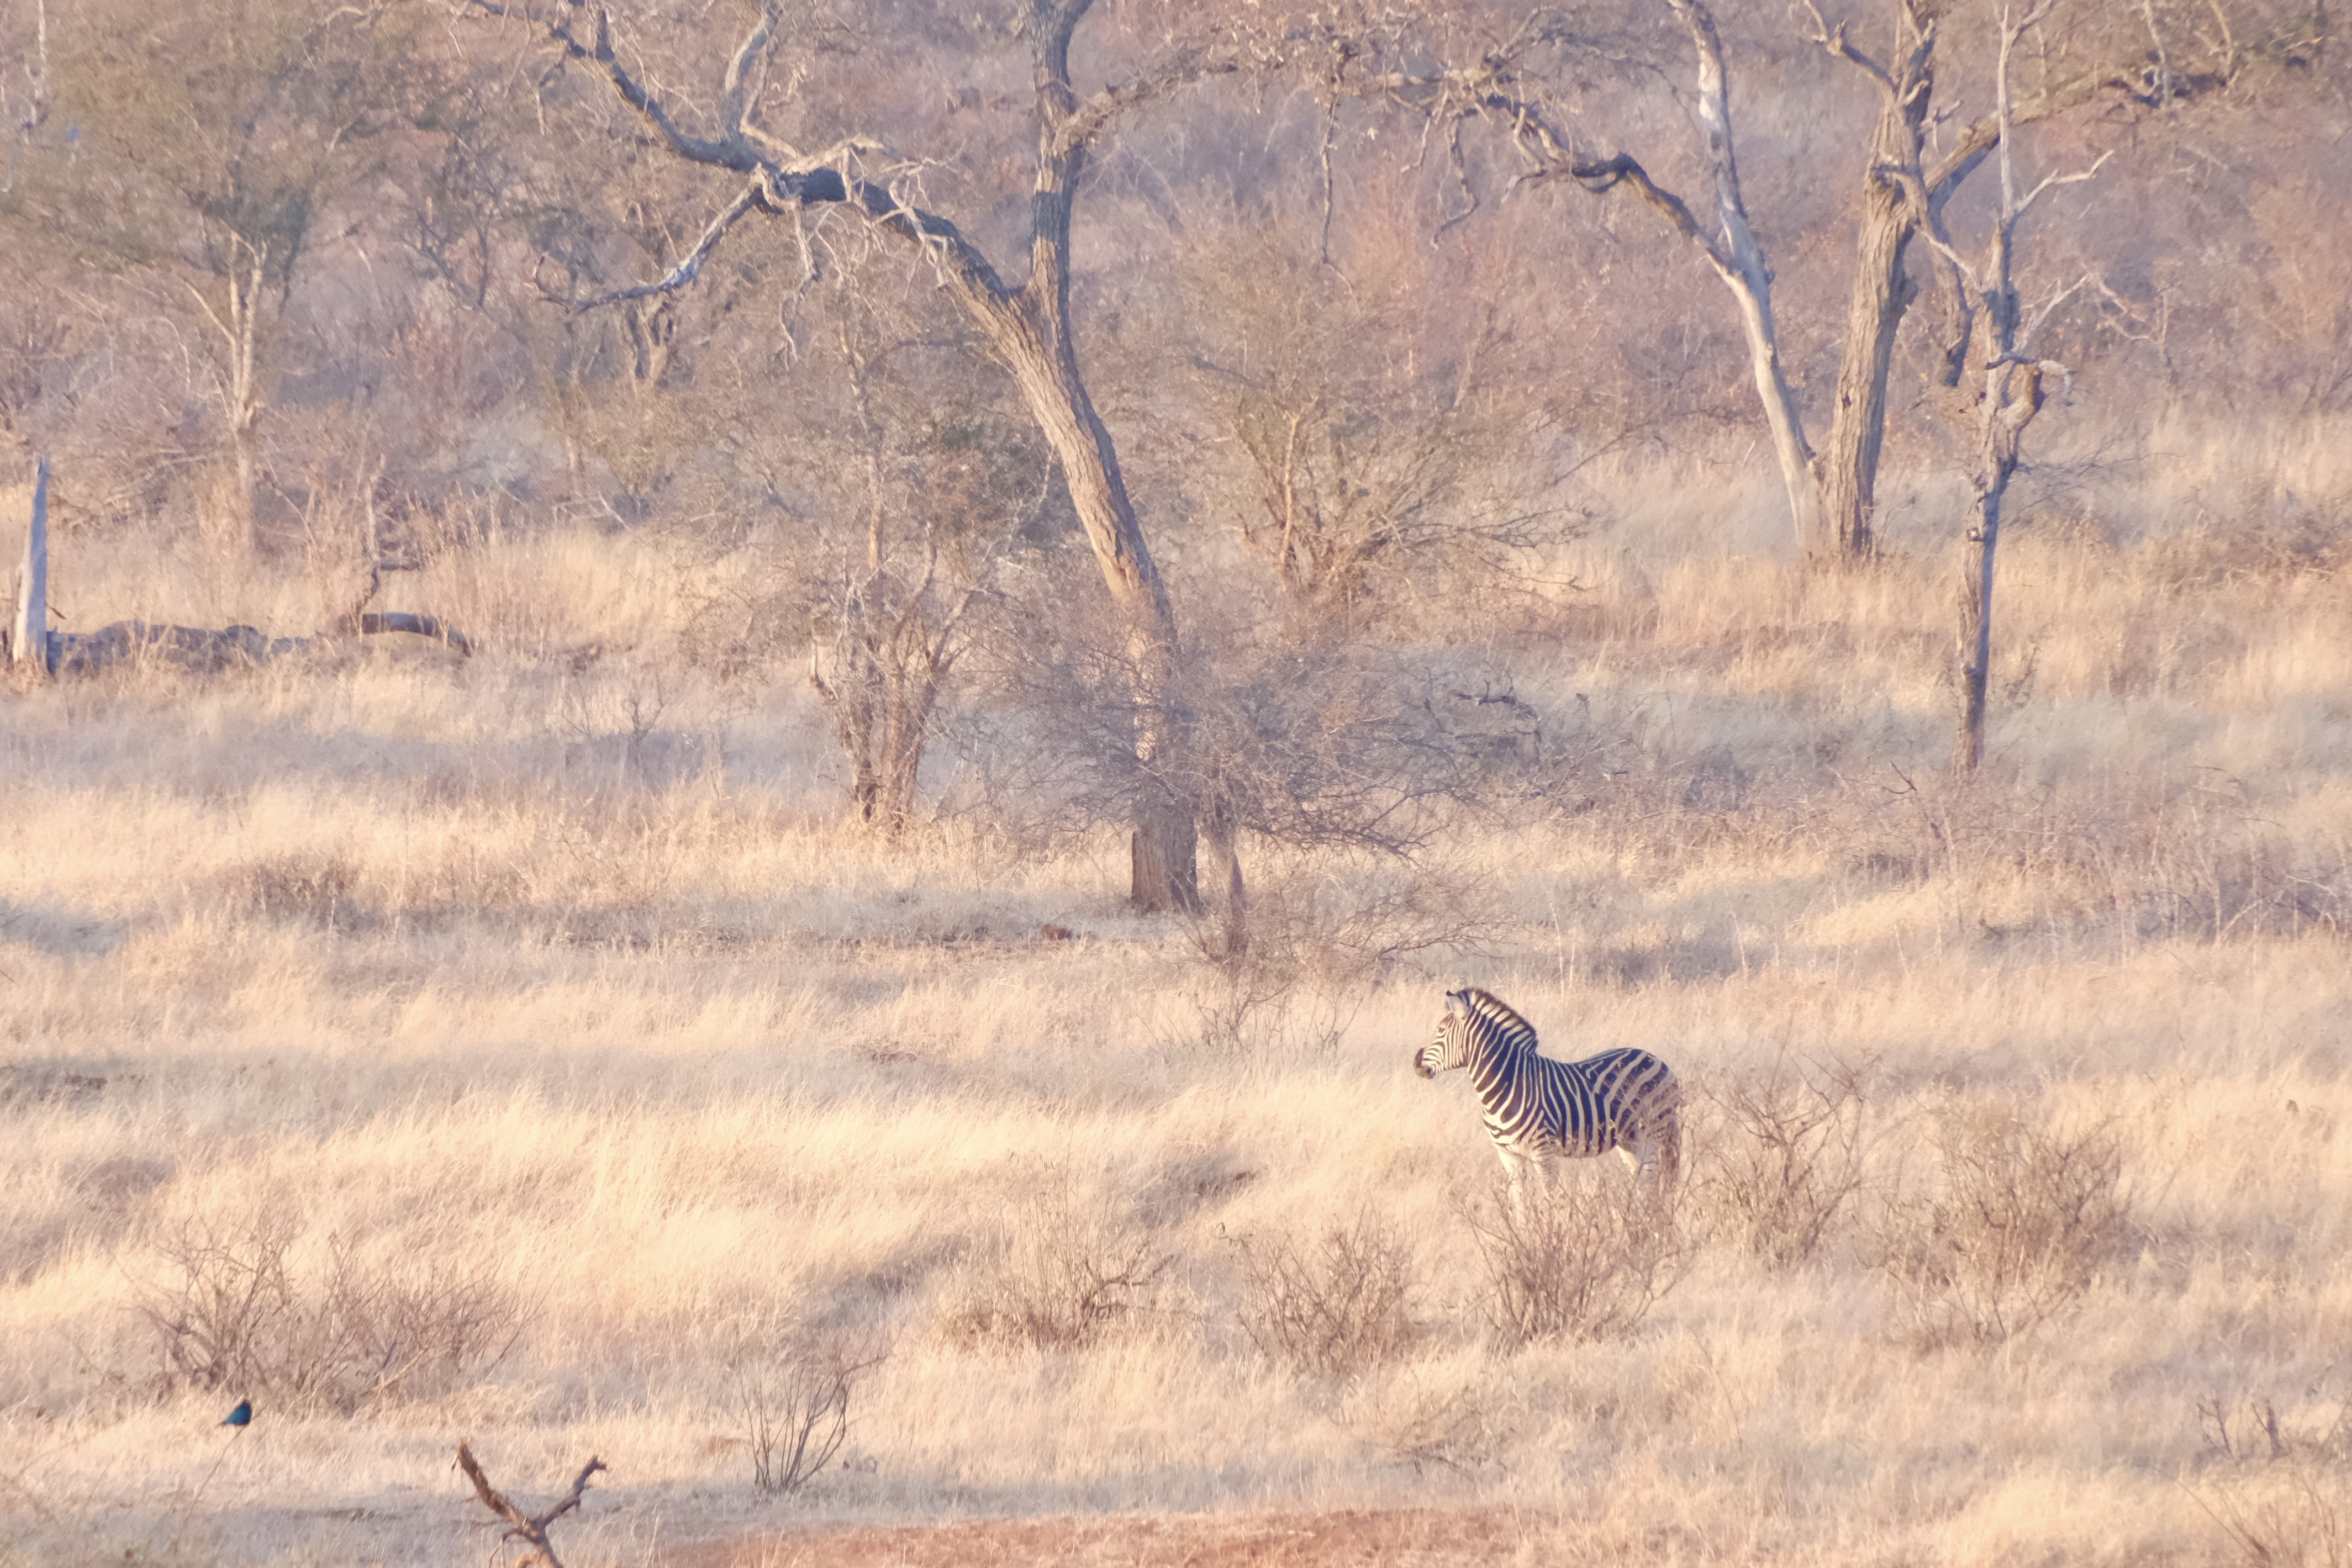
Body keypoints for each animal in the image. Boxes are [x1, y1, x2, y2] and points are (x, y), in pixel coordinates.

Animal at [1413, 987, 1682, 1195]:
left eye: (1440, 1031)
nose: (1416, 1064)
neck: (1506, 1086)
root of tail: (1656, 1059)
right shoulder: (1508, 1156)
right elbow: (1519, 1204)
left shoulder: (1542, 1152)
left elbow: (1550, 1200)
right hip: (1630, 1141)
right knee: (1643, 1182)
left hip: (1654, 1134)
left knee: (1654, 1183)